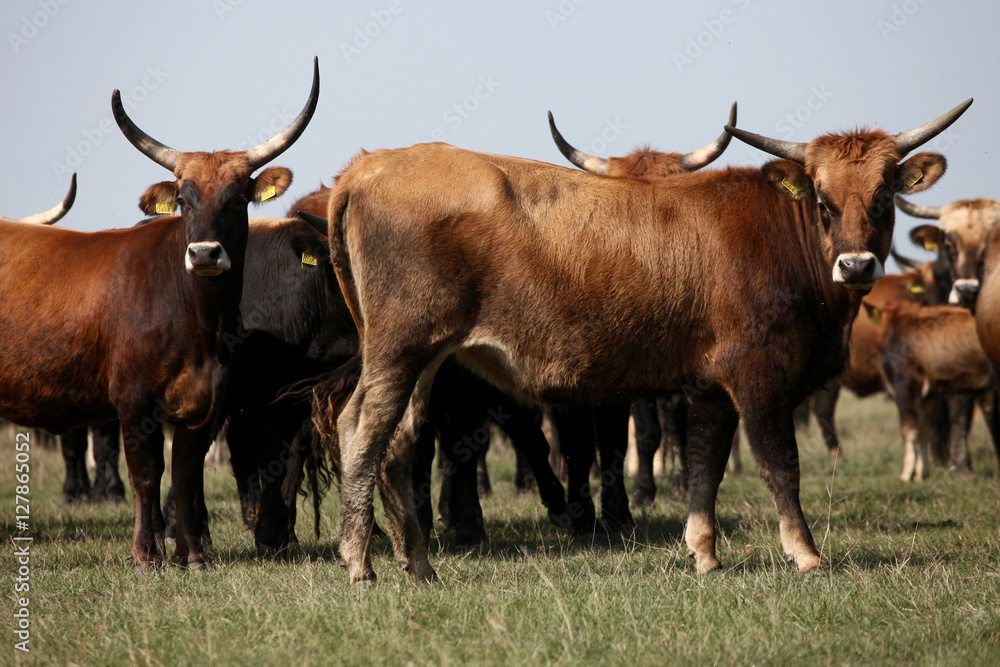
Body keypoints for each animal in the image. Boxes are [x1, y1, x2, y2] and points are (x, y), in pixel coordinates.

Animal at [0, 57, 318, 572]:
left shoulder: (206, 406)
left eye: (237, 198)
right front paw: (147, 554)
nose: (205, 252)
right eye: (184, 200)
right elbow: (148, 475)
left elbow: (186, 476)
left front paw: (194, 554)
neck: (199, 324)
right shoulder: (133, 402)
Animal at [310, 99, 968, 584]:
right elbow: (780, 464)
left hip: (424, 359)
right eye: (825, 202)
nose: (856, 265)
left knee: (399, 443)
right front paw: (805, 554)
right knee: (361, 430)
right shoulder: (759, 377)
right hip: (400, 350)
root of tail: (368, 167)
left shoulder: (711, 391)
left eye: (883, 197)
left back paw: (419, 563)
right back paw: (360, 564)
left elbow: (705, 467)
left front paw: (704, 553)